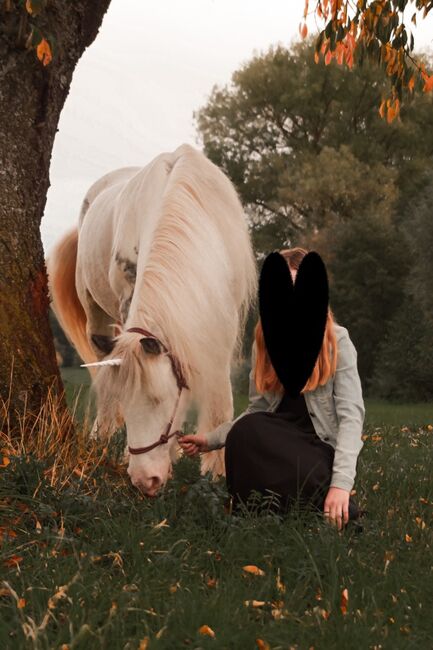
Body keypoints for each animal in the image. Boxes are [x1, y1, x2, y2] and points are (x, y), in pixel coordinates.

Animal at [47, 144, 256, 494]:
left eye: (160, 401)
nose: (146, 481)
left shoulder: (220, 323)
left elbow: (219, 400)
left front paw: (215, 471)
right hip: (95, 315)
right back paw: (102, 437)